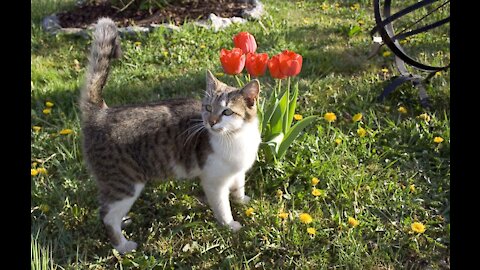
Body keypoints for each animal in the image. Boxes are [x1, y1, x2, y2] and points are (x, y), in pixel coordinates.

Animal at [79, 17, 260, 254]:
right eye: (208, 108)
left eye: (227, 112)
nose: (211, 122)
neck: (235, 138)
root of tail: (101, 113)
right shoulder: (214, 181)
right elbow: (223, 207)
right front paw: (230, 225)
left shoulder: (237, 171)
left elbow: (238, 187)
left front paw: (243, 200)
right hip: (124, 183)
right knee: (107, 216)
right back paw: (123, 246)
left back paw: (124, 221)